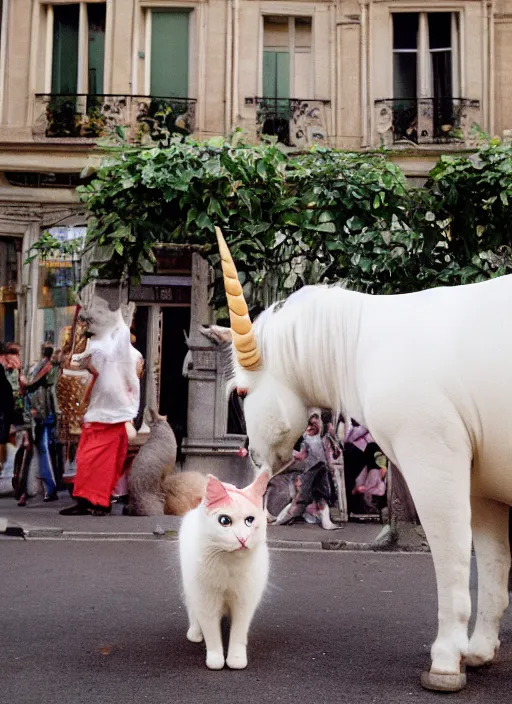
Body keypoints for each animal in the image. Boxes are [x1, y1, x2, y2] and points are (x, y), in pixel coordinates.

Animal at [178, 470, 270, 668]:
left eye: (250, 521)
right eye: (224, 521)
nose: (242, 539)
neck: (229, 566)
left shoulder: (244, 603)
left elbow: (238, 635)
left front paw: (236, 660)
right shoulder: (207, 603)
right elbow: (212, 636)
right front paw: (215, 661)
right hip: (191, 590)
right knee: (193, 613)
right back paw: (195, 633)